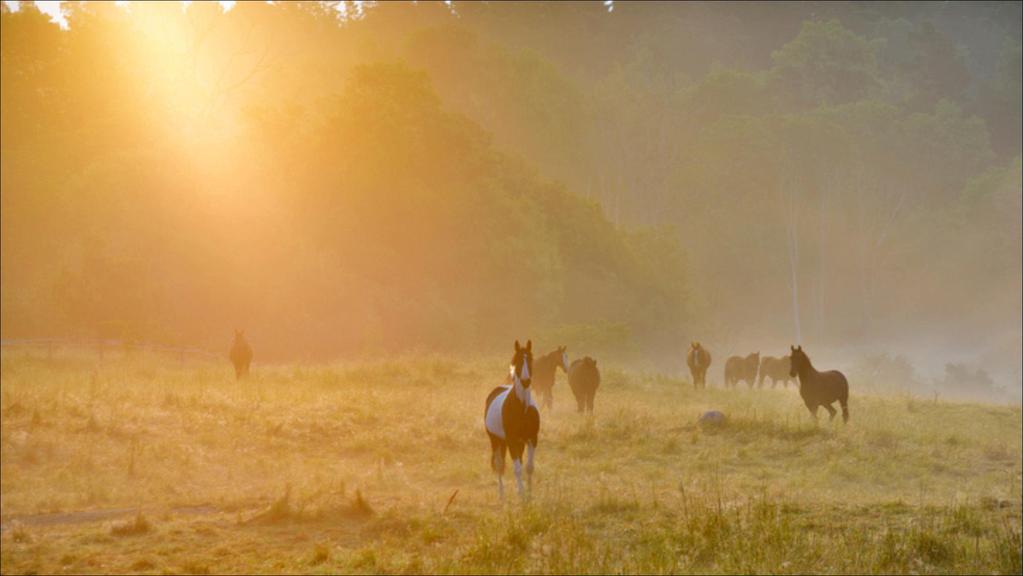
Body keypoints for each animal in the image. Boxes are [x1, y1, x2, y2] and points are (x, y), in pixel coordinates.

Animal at [482, 339, 540, 497]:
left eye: (531, 359)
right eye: (518, 360)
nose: (526, 381)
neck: (522, 409)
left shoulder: (532, 439)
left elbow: (529, 467)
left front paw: (529, 494)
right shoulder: (512, 440)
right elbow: (517, 469)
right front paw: (521, 494)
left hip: (517, 443)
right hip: (496, 440)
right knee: (499, 465)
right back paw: (501, 495)